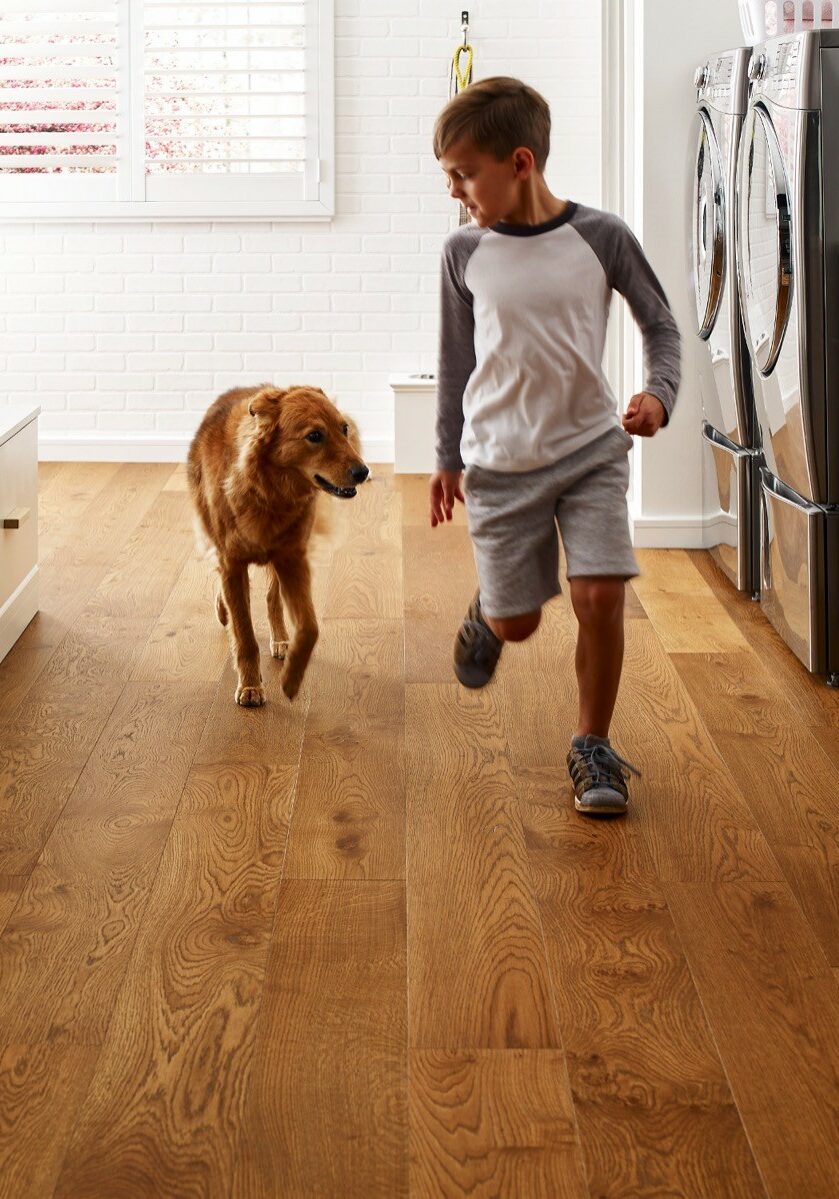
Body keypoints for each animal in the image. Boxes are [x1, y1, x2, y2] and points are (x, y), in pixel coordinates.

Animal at [188, 383, 369, 700]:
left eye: (344, 429)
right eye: (315, 436)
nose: (363, 472)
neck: (269, 492)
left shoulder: (292, 558)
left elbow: (310, 628)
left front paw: (291, 680)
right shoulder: (232, 563)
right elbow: (244, 633)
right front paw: (250, 685)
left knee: (273, 599)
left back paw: (281, 640)